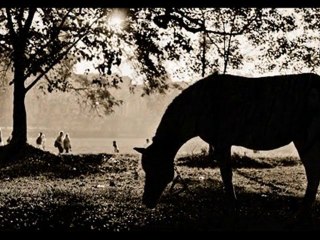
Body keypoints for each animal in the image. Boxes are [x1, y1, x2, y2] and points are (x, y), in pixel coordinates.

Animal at [134, 72, 320, 218]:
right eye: (145, 168)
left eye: (156, 169)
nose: (146, 202)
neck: (197, 108)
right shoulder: (221, 143)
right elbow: (226, 174)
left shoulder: (222, 141)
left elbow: (226, 175)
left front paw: (232, 204)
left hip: (307, 138)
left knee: (313, 175)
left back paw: (301, 213)